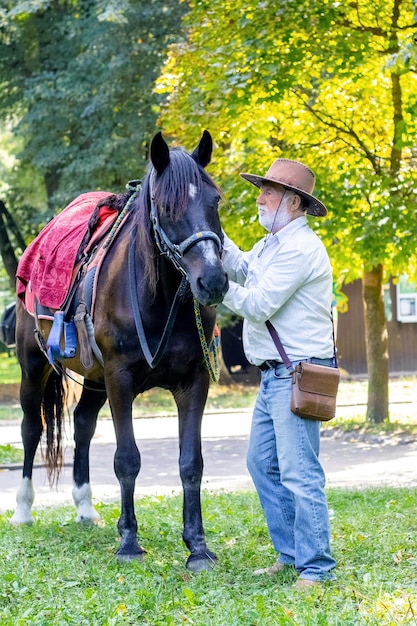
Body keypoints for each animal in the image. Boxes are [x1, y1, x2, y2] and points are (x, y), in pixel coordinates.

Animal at [10, 130, 228, 572]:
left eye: (214, 201)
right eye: (166, 207)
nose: (212, 280)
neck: (156, 298)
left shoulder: (194, 382)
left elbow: (191, 463)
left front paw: (197, 547)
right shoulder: (120, 379)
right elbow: (127, 460)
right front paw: (129, 542)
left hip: (93, 381)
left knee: (82, 427)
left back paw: (85, 508)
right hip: (34, 368)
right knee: (31, 429)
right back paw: (23, 510)